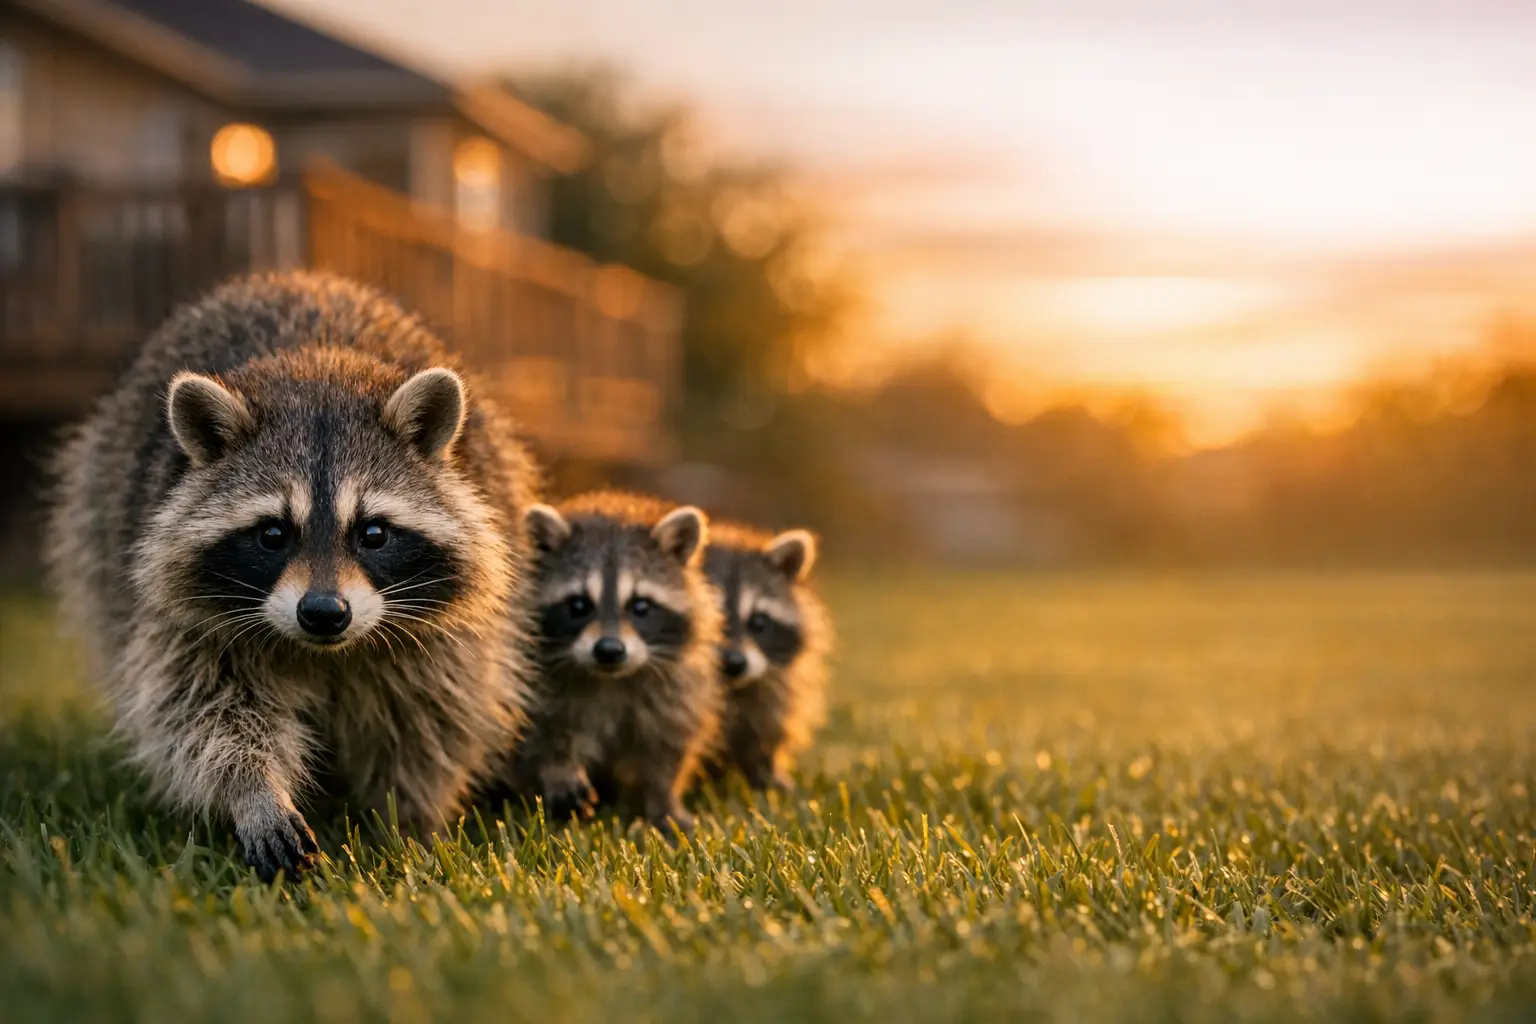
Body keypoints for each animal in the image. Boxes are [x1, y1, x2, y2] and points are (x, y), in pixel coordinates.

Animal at [47, 271, 537, 882]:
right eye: (273, 534)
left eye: (373, 533)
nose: (324, 613)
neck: (317, 368)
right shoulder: (183, 623)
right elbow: (201, 708)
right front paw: (254, 792)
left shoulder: (444, 636)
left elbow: (430, 717)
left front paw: (407, 819)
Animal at [507, 491, 722, 833]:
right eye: (579, 605)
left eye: (641, 606)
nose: (609, 650)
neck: (611, 678)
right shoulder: (532, 678)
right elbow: (539, 731)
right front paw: (559, 769)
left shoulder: (677, 685)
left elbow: (668, 742)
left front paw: (664, 800)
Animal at [703, 523, 831, 791]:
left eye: (758, 622)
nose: (734, 663)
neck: (731, 688)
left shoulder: (775, 682)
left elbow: (767, 725)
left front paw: (767, 774)